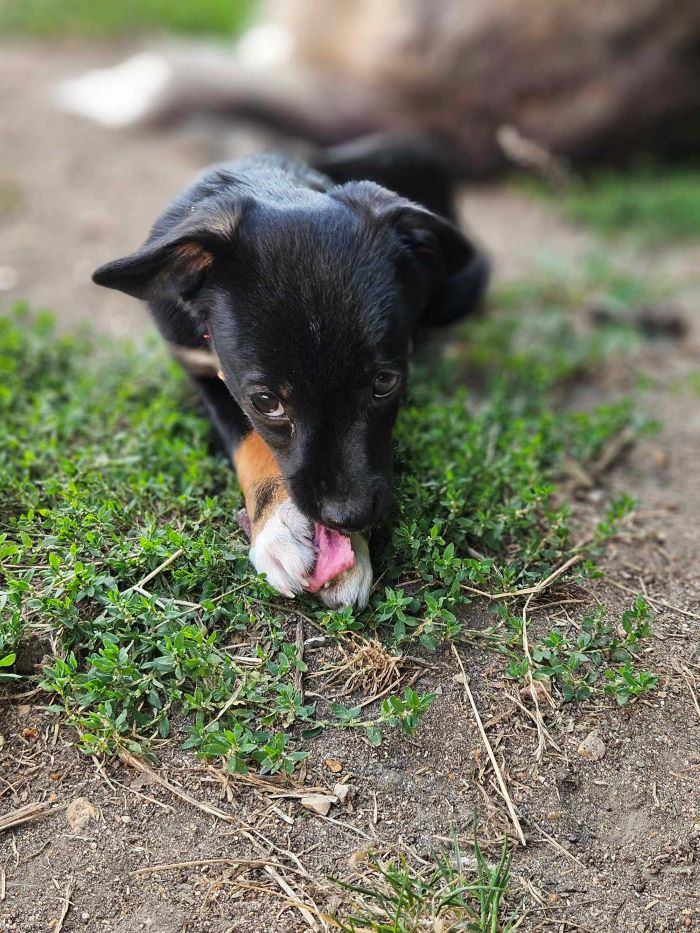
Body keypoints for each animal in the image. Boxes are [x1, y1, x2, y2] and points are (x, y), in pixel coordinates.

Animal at [91, 137, 486, 604]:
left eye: (385, 382)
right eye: (266, 402)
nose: (348, 517)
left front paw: (348, 550)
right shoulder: (200, 369)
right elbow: (251, 442)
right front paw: (280, 525)